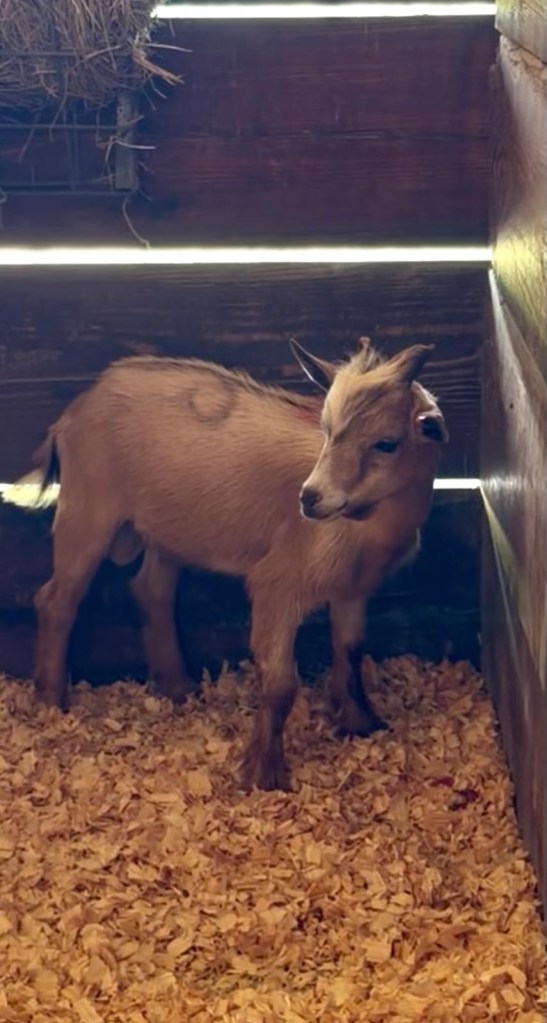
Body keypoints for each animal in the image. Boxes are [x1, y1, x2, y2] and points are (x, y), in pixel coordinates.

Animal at [2, 338, 448, 791]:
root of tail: (78, 409)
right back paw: (52, 698)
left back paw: (176, 686)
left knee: (151, 591)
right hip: (87, 510)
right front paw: (263, 772)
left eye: (386, 442)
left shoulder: (351, 591)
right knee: (57, 600)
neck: (366, 530)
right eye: (327, 430)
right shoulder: (277, 586)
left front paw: (361, 722)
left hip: (166, 530)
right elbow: (280, 681)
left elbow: (351, 651)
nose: (310, 497)